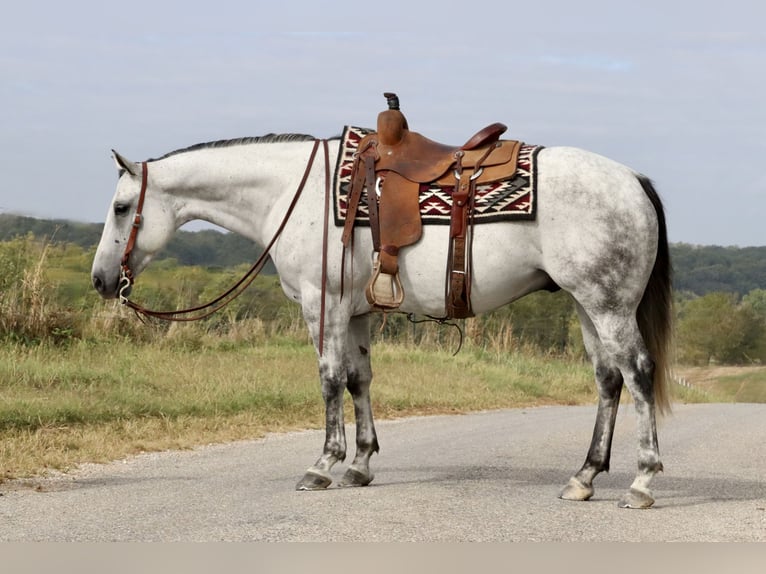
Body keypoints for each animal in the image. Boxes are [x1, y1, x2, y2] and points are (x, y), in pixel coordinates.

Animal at [93, 129, 676, 508]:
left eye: (121, 208)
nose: (101, 280)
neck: (291, 192)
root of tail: (633, 180)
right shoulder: (355, 313)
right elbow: (359, 379)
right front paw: (360, 465)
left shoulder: (321, 304)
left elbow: (330, 380)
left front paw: (323, 466)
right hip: (586, 304)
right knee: (608, 379)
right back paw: (584, 477)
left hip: (608, 304)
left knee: (638, 373)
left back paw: (642, 482)